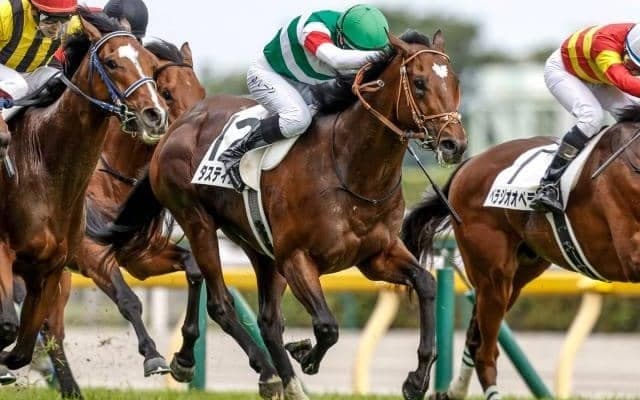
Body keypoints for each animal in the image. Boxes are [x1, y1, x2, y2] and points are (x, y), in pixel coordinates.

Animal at [0, 7, 167, 376]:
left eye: (151, 64)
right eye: (111, 62)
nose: (155, 115)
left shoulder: (51, 269)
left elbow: (24, 345)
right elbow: (8, 326)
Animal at [23, 39, 204, 397]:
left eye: (201, 91)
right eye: (167, 92)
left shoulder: (141, 255)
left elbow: (193, 270)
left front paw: (184, 359)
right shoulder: (90, 253)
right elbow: (128, 299)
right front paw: (153, 356)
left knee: (50, 325)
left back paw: (70, 389)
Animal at [89, 30, 467, 400]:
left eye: (455, 81)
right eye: (419, 82)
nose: (455, 144)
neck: (350, 166)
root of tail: (180, 126)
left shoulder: (376, 255)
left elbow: (426, 283)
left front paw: (417, 379)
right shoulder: (296, 257)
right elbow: (327, 326)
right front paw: (306, 355)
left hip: (258, 244)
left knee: (269, 320)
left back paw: (278, 381)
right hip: (199, 223)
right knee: (221, 303)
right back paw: (258, 372)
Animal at [401, 108, 640, 399]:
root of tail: (469, 164)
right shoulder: (631, 253)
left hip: (518, 275)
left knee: (475, 338)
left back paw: (453, 391)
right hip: (493, 275)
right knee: (485, 352)